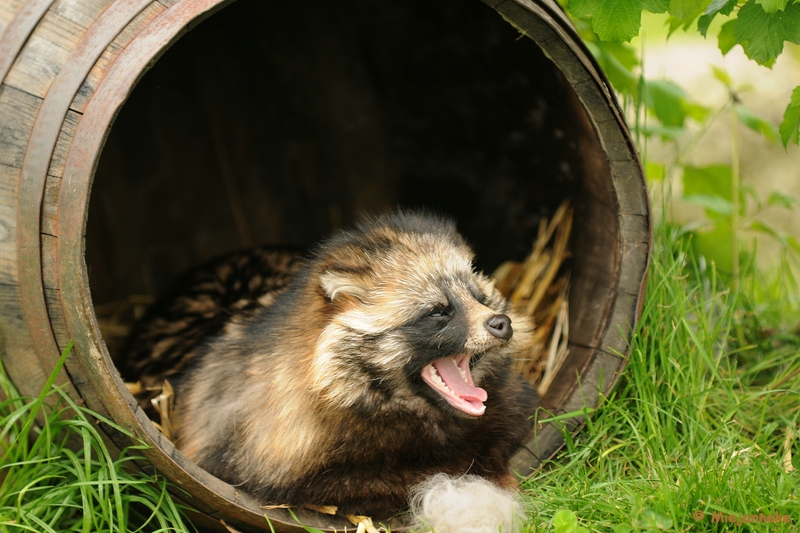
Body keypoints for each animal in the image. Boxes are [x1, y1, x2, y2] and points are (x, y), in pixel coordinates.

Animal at [125, 210, 536, 524]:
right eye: (438, 312)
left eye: (479, 298)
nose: (502, 323)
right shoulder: (280, 464)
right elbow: (402, 478)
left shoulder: (510, 405)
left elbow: (503, 432)